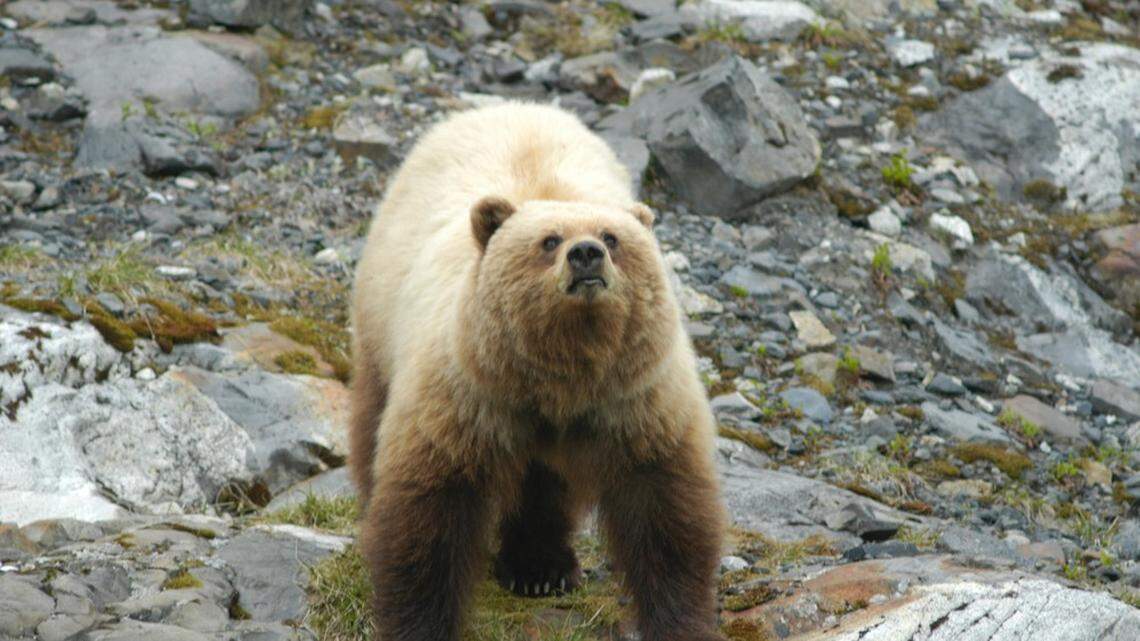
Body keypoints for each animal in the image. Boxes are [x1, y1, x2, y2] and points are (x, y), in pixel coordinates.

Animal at [348, 102, 727, 641]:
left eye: (612, 237)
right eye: (549, 240)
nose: (586, 254)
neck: (561, 373)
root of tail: (506, 105)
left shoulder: (636, 400)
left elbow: (665, 510)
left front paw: (680, 621)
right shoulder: (466, 395)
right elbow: (429, 512)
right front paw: (419, 623)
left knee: (544, 482)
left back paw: (542, 567)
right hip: (381, 312)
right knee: (373, 414)